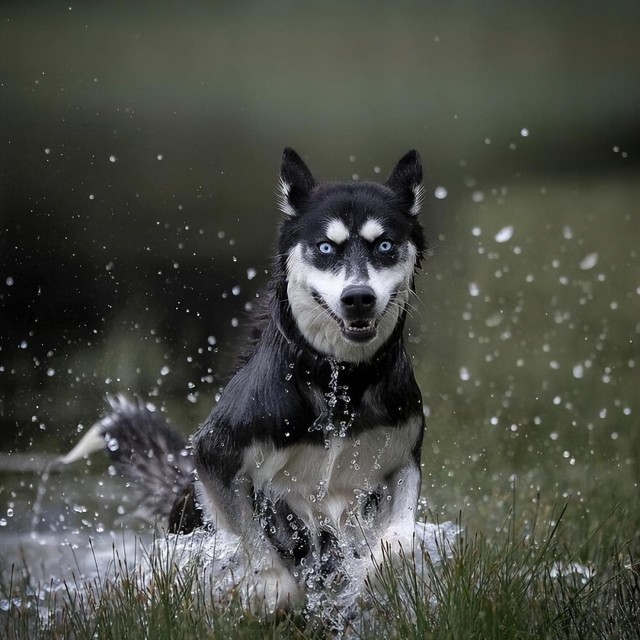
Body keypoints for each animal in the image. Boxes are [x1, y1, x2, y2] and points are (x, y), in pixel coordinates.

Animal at [62, 149, 428, 608]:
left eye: (385, 245)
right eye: (326, 247)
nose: (358, 298)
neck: (339, 381)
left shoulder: (402, 454)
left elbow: (402, 540)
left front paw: (377, 571)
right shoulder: (216, 455)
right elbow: (256, 545)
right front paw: (274, 586)